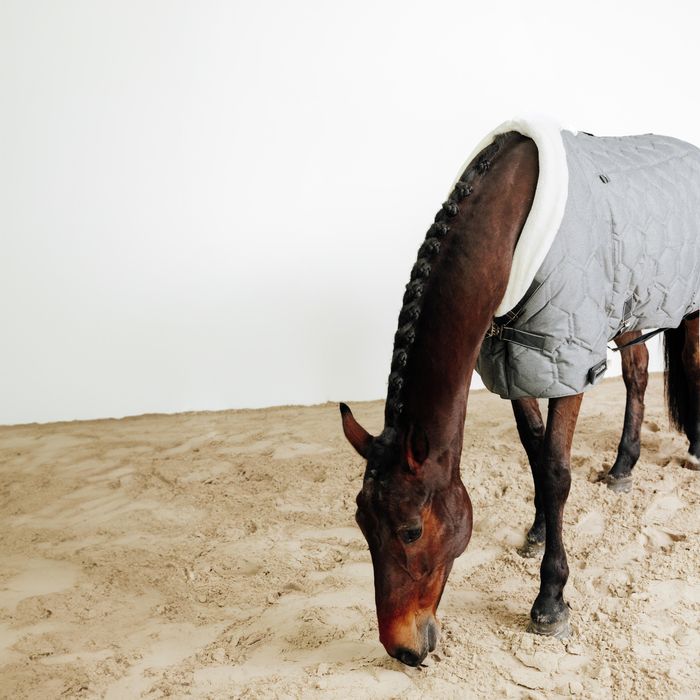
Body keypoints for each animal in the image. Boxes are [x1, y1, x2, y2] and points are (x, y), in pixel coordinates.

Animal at [340, 121, 700, 667]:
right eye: (362, 522)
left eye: (411, 530)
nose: (401, 648)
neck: (513, 225)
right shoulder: (513, 361)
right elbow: (534, 450)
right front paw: (537, 532)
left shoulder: (568, 357)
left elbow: (555, 470)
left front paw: (550, 599)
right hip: (628, 308)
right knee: (637, 375)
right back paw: (623, 467)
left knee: (693, 364)